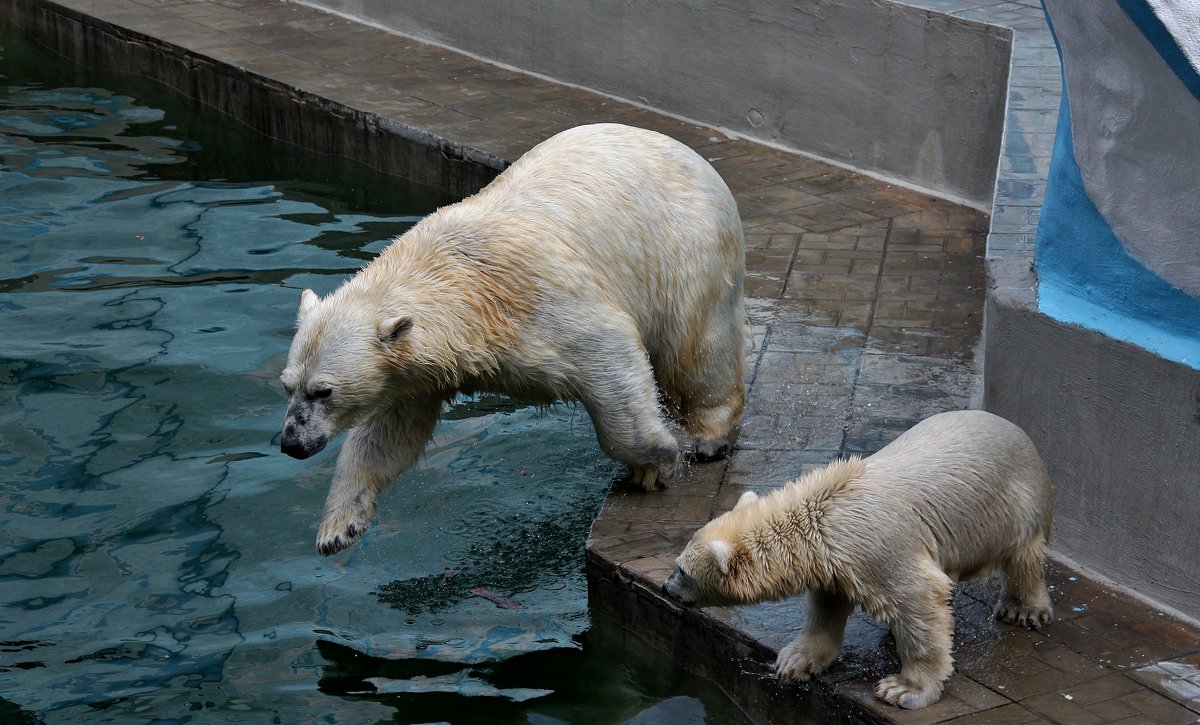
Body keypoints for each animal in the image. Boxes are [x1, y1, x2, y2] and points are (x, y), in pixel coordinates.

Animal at [283, 123, 748, 554]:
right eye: (288, 387)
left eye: (323, 391)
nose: (291, 443)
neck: (462, 285)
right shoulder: (417, 373)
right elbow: (388, 433)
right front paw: (339, 527)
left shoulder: (540, 301)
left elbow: (608, 350)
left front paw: (655, 462)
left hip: (686, 248)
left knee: (697, 347)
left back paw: (708, 436)